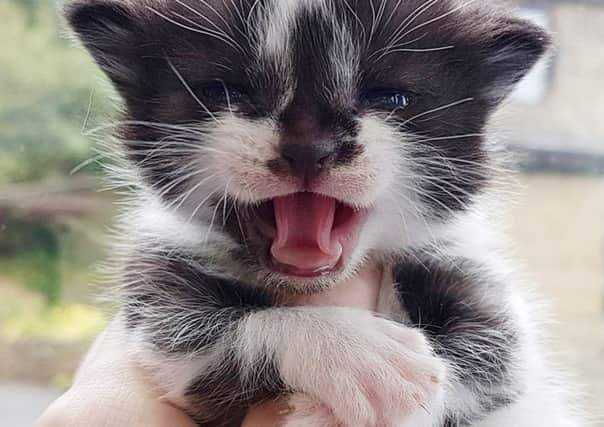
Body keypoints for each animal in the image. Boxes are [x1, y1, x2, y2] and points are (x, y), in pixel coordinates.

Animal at [65, 0, 580, 426]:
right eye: (224, 92)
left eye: (390, 98)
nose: (309, 150)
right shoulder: (160, 287)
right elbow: (193, 337)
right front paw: (356, 355)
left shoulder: (472, 277)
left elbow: (492, 359)